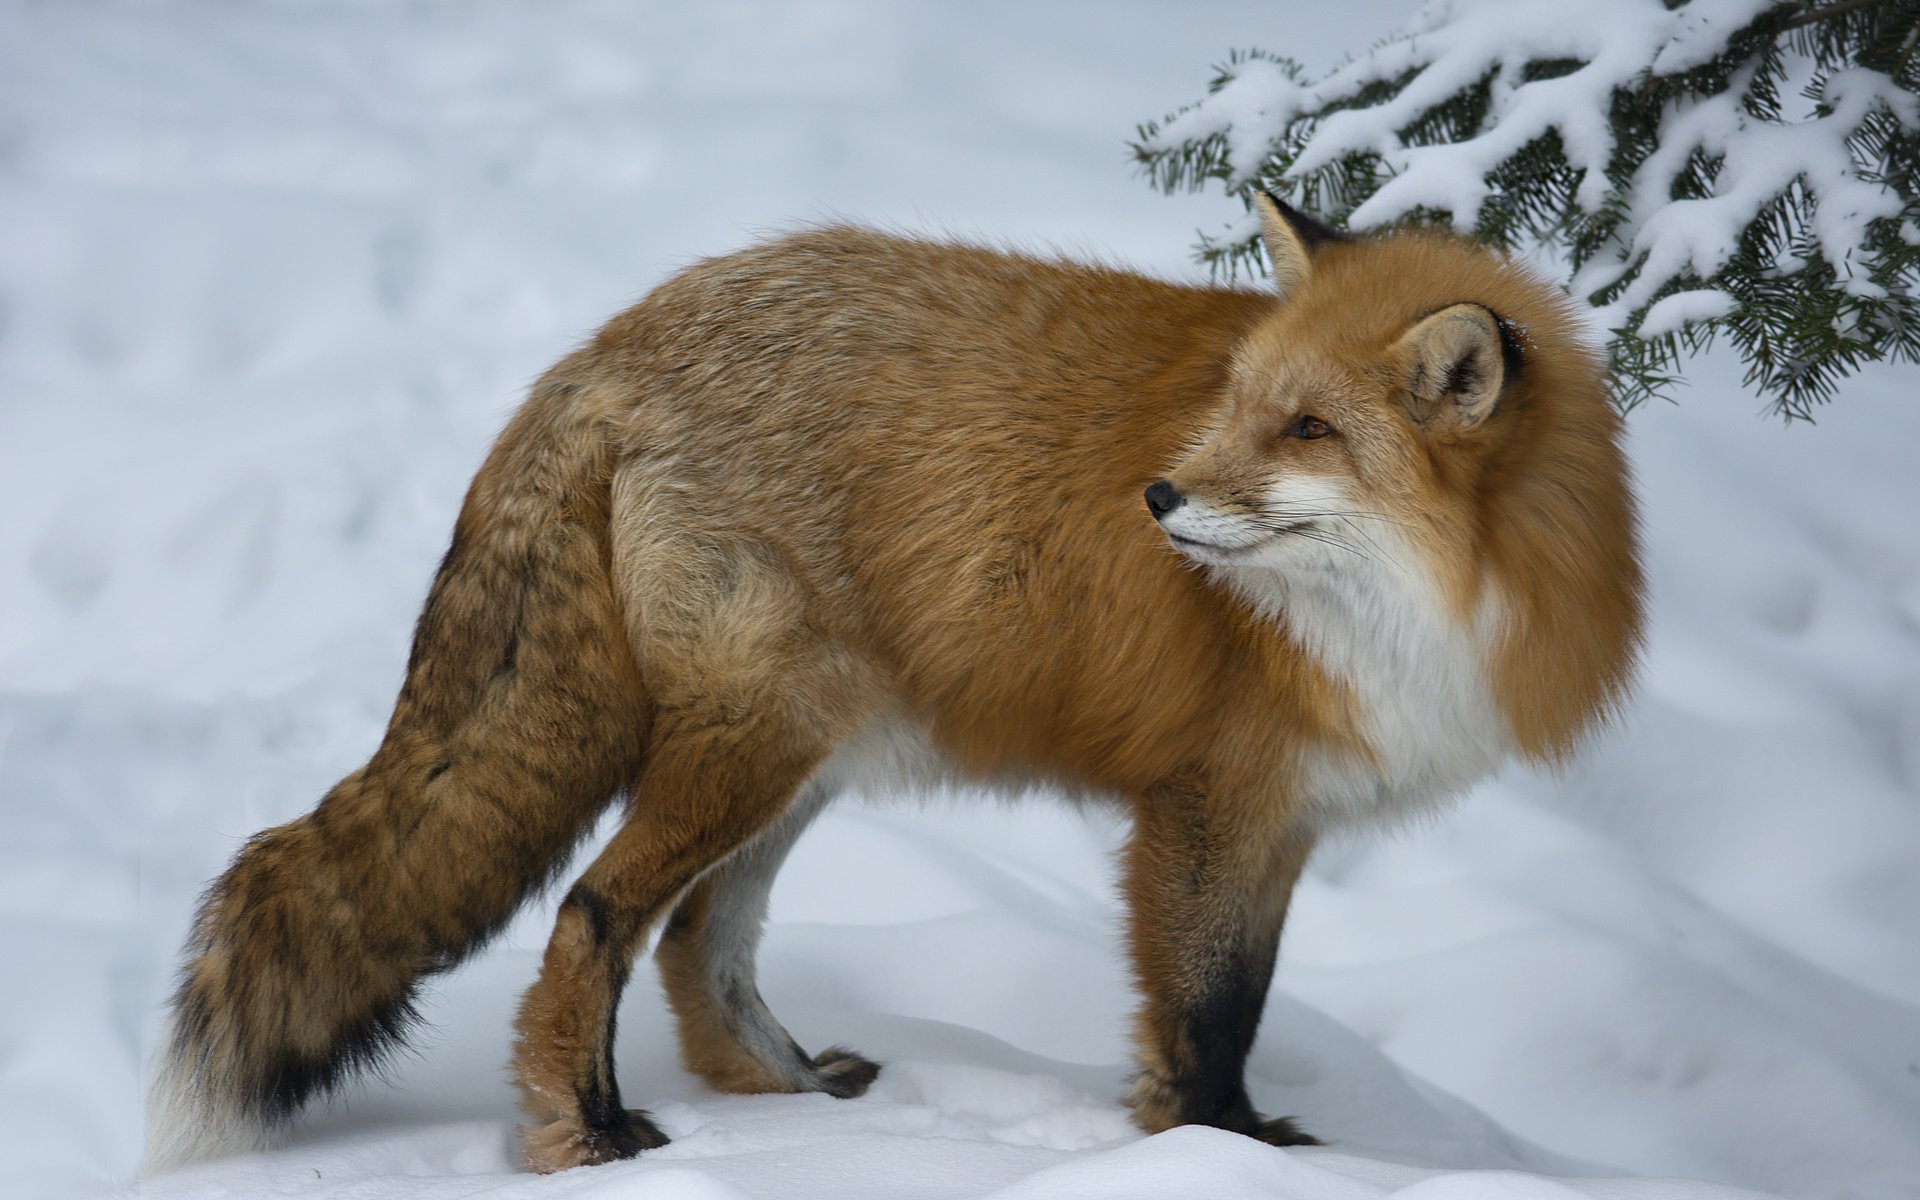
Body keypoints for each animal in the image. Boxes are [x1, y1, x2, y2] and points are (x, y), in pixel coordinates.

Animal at [149, 196, 1643, 1167]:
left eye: (1310, 429)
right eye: (1239, 408)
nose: (1157, 496)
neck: (1431, 605)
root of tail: (609, 343)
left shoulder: (1287, 822)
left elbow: (1245, 1001)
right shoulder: (1204, 808)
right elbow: (1206, 1015)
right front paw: (1214, 1154)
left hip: (806, 758)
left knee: (699, 941)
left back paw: (789, 1095)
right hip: (760, 739)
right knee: (596, 915)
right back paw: (590, 1130)